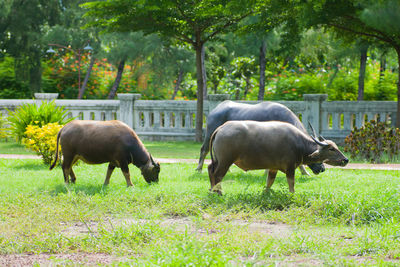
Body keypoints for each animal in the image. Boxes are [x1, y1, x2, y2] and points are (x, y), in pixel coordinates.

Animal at [208, 121, 348, 195]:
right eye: (331, 149)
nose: (345, 160)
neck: (299, 144)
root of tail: (221, 128)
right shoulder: (290, 168)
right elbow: (291, 185)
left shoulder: (273, 168)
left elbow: (269, 183)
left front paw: (265, 193)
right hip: (226, 161)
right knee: (218, 174)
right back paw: (219, 192)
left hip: (218, 160)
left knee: (210, 169)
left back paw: (212, 190)